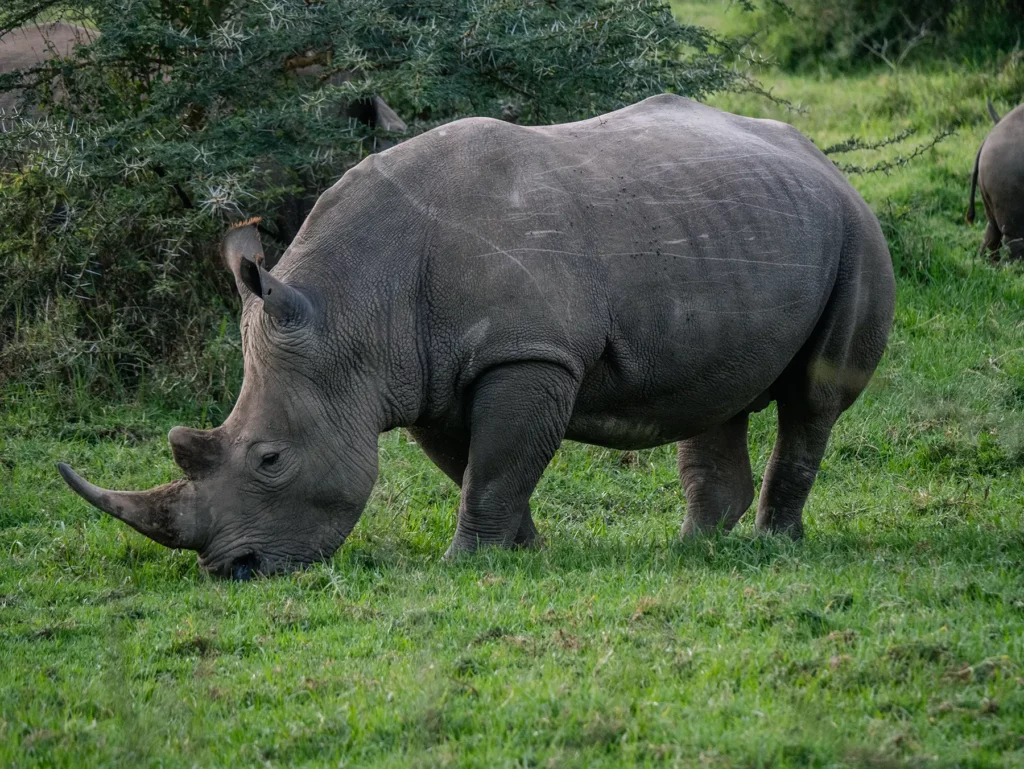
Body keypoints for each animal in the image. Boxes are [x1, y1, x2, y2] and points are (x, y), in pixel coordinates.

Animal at [58, 94, 896, 579]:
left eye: (269, 459)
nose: (233, 568)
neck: (354, 309)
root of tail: (816, 152)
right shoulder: (425, 372)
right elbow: (478, 465)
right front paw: (522, 552)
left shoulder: (524, 353)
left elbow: (496, 465)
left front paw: (466, 563)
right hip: (729, 221)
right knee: (715, 394)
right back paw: (698, 549)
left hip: (857, 230)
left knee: (814, 398)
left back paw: (771, 545)